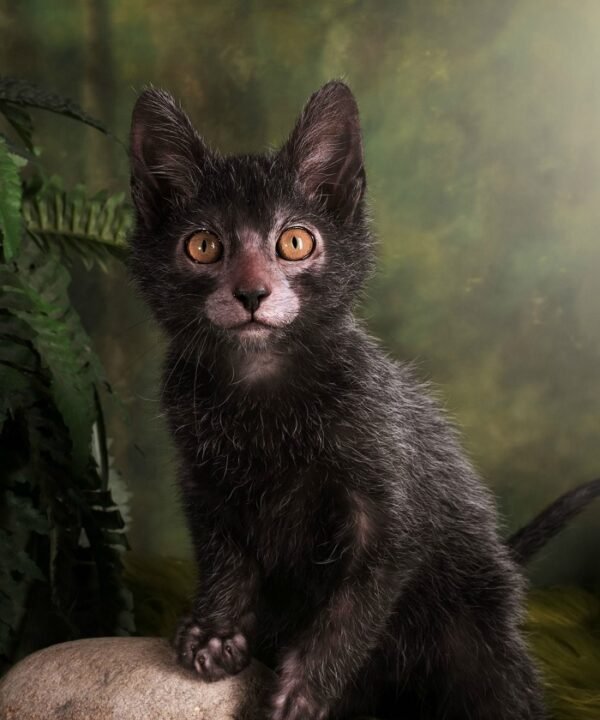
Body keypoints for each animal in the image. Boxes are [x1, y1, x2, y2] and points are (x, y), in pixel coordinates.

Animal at [129, 83, 596, 720]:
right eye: (203, 246)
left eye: (295, 241)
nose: (252, 293)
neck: (262, 390)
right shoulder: (203, 483)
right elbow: (224, 558)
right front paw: (216, 632)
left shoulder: (389, 501)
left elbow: (356, 607)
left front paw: (303, 688)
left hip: (477, 637)